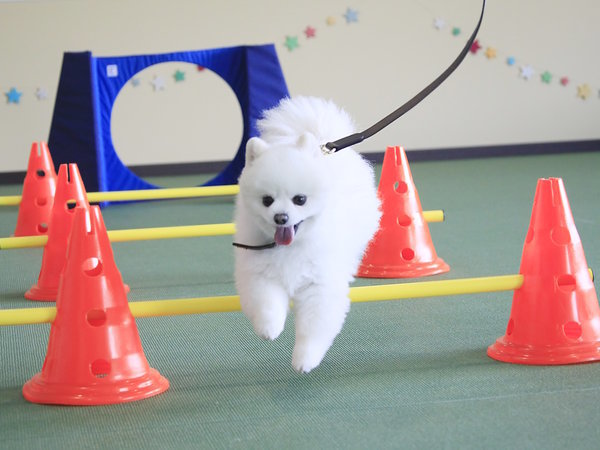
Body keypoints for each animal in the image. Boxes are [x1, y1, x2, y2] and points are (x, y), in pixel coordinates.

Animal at [233, 97, 380, 372]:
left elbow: (313, 328)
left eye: (299, 199)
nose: (281, 217)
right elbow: (267, 303)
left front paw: (304, 359)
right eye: (267, 200)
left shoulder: (319, 285)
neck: (291, 246)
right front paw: (269, 328)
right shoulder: (261, 272)